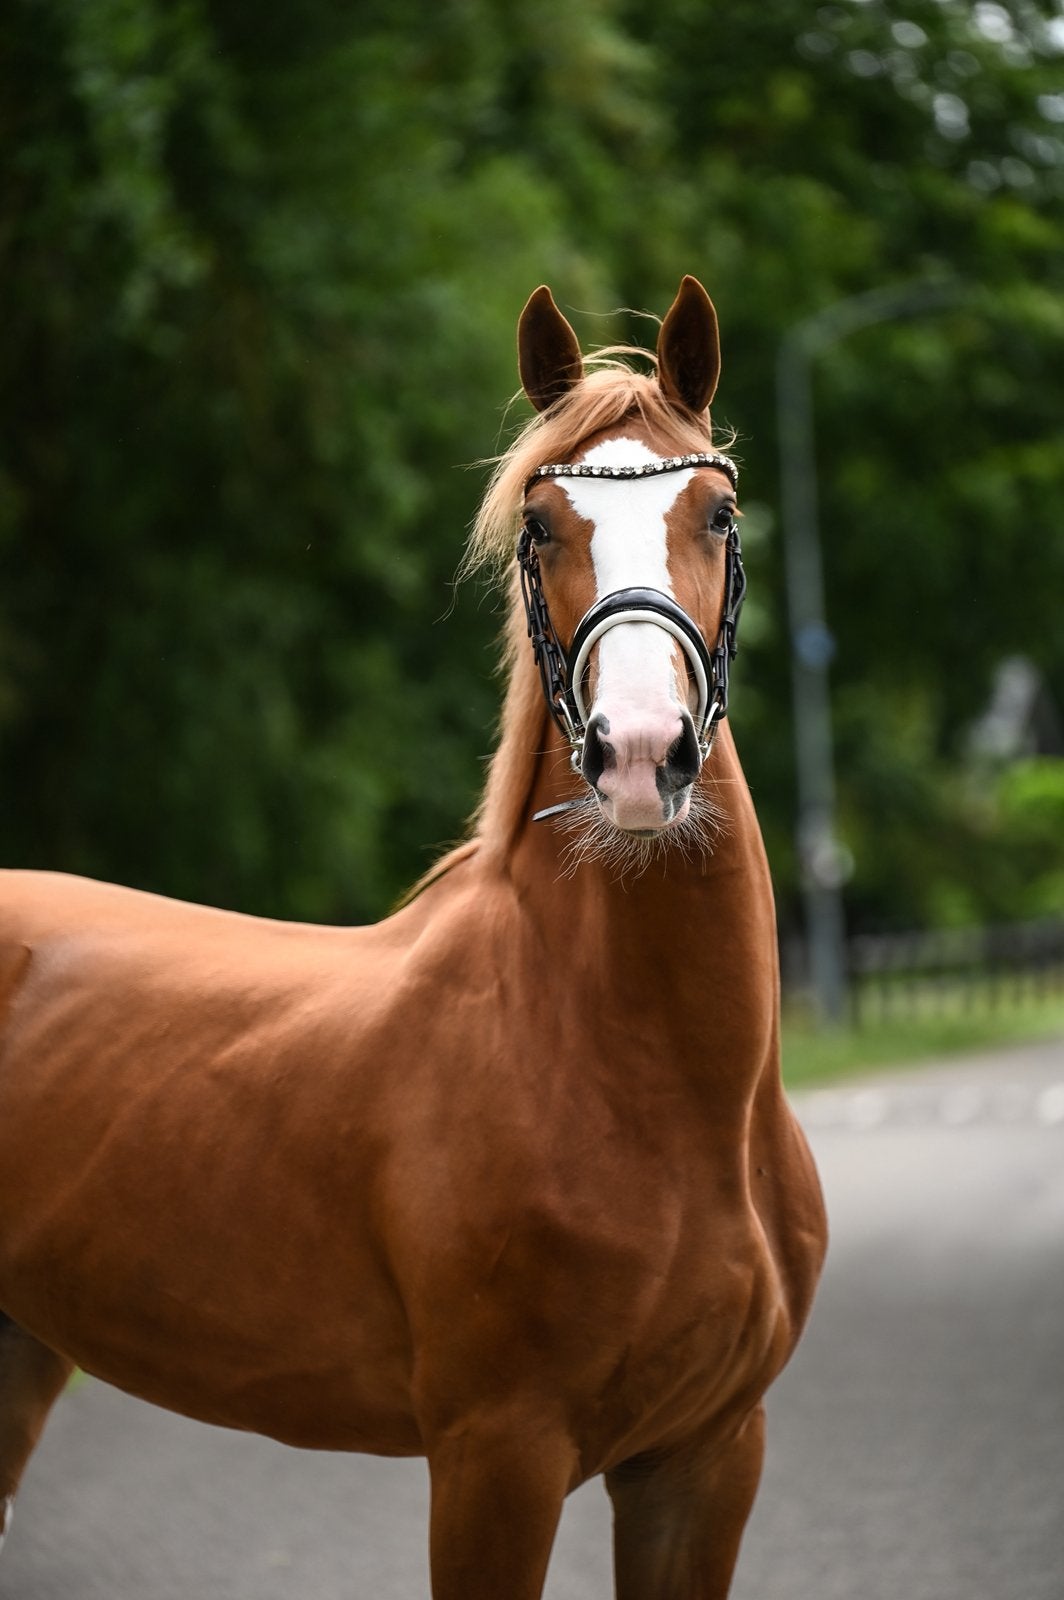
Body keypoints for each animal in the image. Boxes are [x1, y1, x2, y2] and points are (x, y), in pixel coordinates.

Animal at [0, 275, 826, 1598]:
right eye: (540, 525)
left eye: (718, 511)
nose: (640, 755)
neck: (647, 1086)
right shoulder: (496, 1456)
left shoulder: (705, 1458)